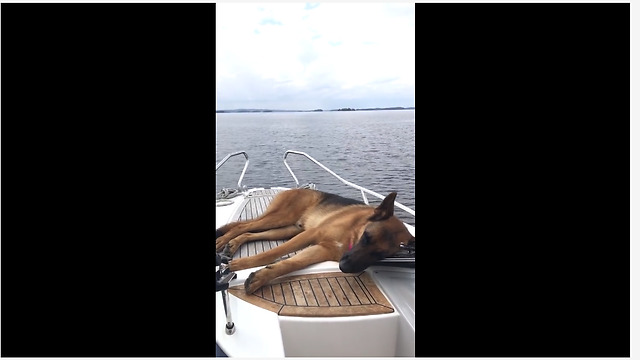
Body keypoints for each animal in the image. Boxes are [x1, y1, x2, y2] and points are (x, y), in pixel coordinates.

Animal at [215, 187, 416, 294]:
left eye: (381, 254)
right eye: (367, 237)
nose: (344, 267)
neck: (352, 233)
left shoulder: (321, 249)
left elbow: (291, 264)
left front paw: (259, 277)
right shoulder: (311, 234)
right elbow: (273, 253)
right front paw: (241, 265)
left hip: (288, 229)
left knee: (249, 233)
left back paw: (232, 244)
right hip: (281, 218)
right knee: (243, 226)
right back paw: (222, 241)